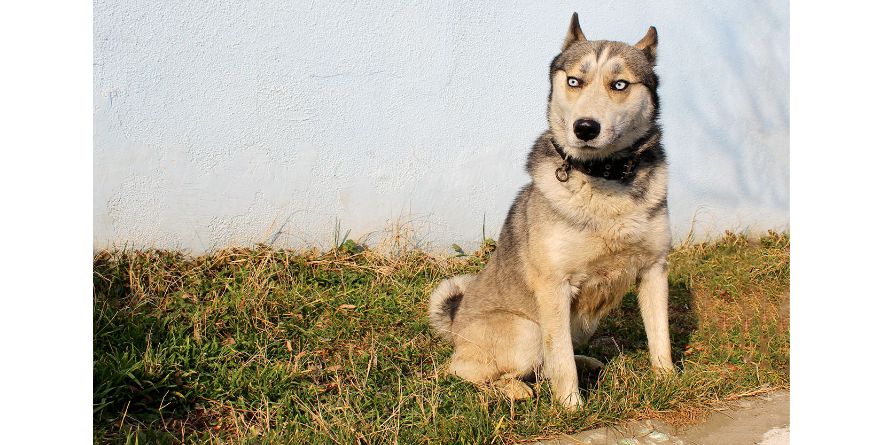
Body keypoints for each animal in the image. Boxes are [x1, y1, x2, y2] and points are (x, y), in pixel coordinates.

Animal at [430, 13, 672, 410]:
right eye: (574, 81)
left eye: (619, 84)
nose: (585, 128)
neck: (603, 178)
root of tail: (455, 327)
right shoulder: (554, 286)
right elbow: (559, 360)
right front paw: (572, 406)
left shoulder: (654, 270)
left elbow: (660, 336)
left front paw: (669, 381)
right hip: (526, 330)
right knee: (465, 370)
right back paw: (512, 388)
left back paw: (587, 361)